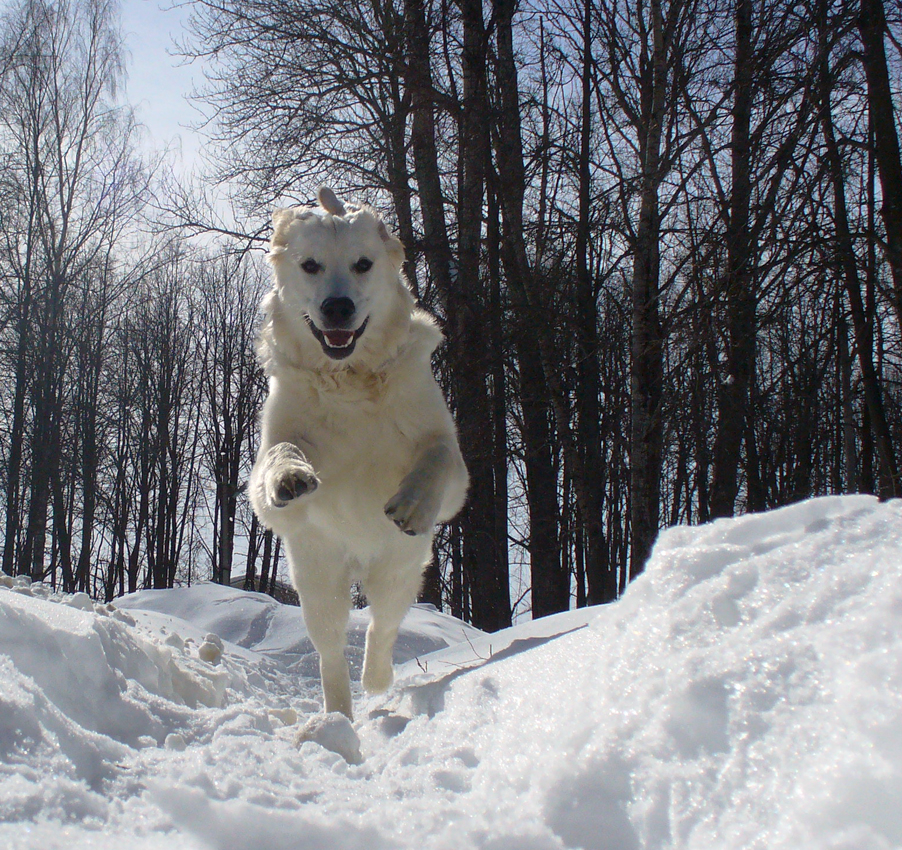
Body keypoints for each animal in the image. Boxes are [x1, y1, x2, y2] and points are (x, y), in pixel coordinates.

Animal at [251, 186, 470, 716]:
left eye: (363, 264)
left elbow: (437, 457)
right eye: (310, 266)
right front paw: (291, 476)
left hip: (398, 570)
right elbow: (281, 452)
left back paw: (377, 680)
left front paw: (411, 503)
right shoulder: (269, 461)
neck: (350, 377)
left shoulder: (448, 458)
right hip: (319, 578)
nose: (337, 307)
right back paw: (339, 716)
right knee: (330, 652)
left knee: (383, 627)